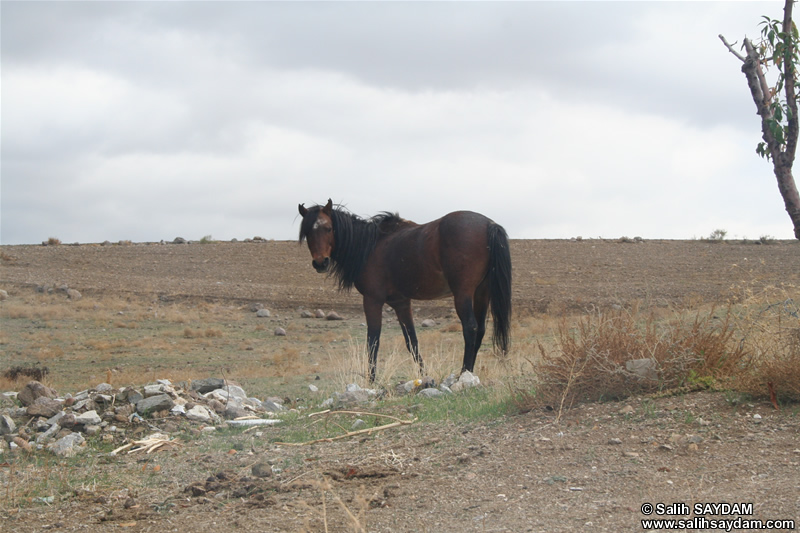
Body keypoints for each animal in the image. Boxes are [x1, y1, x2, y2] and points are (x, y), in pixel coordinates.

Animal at [298, 197, 512, 380]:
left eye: (328, 228)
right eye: (307, 232)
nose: (320, 263)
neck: (369, 246)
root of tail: (488, 224)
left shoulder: (372, 300)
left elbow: (373, 341)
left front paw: (372, 380)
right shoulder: (401, 302)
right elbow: (412, 341)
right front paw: (424, 376)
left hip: (463, 294)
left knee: (470, 327)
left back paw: (464, 373)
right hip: (482, 293)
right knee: (481, 329)